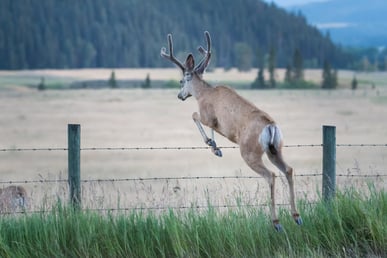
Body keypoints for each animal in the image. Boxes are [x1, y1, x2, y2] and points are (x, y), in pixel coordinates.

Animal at [161, 31, 304, 231]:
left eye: (182, 81)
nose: (180, 95)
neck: (203, 93)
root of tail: (270, 126)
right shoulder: (215, 122)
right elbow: (209, 127)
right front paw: (215, 147)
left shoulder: (208, 115)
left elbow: (195, 116)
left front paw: (213, 146)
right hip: (275, 149)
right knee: (288, 170)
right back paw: (296, 216)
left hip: (250, 151)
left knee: (271, 175)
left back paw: (276, 223)